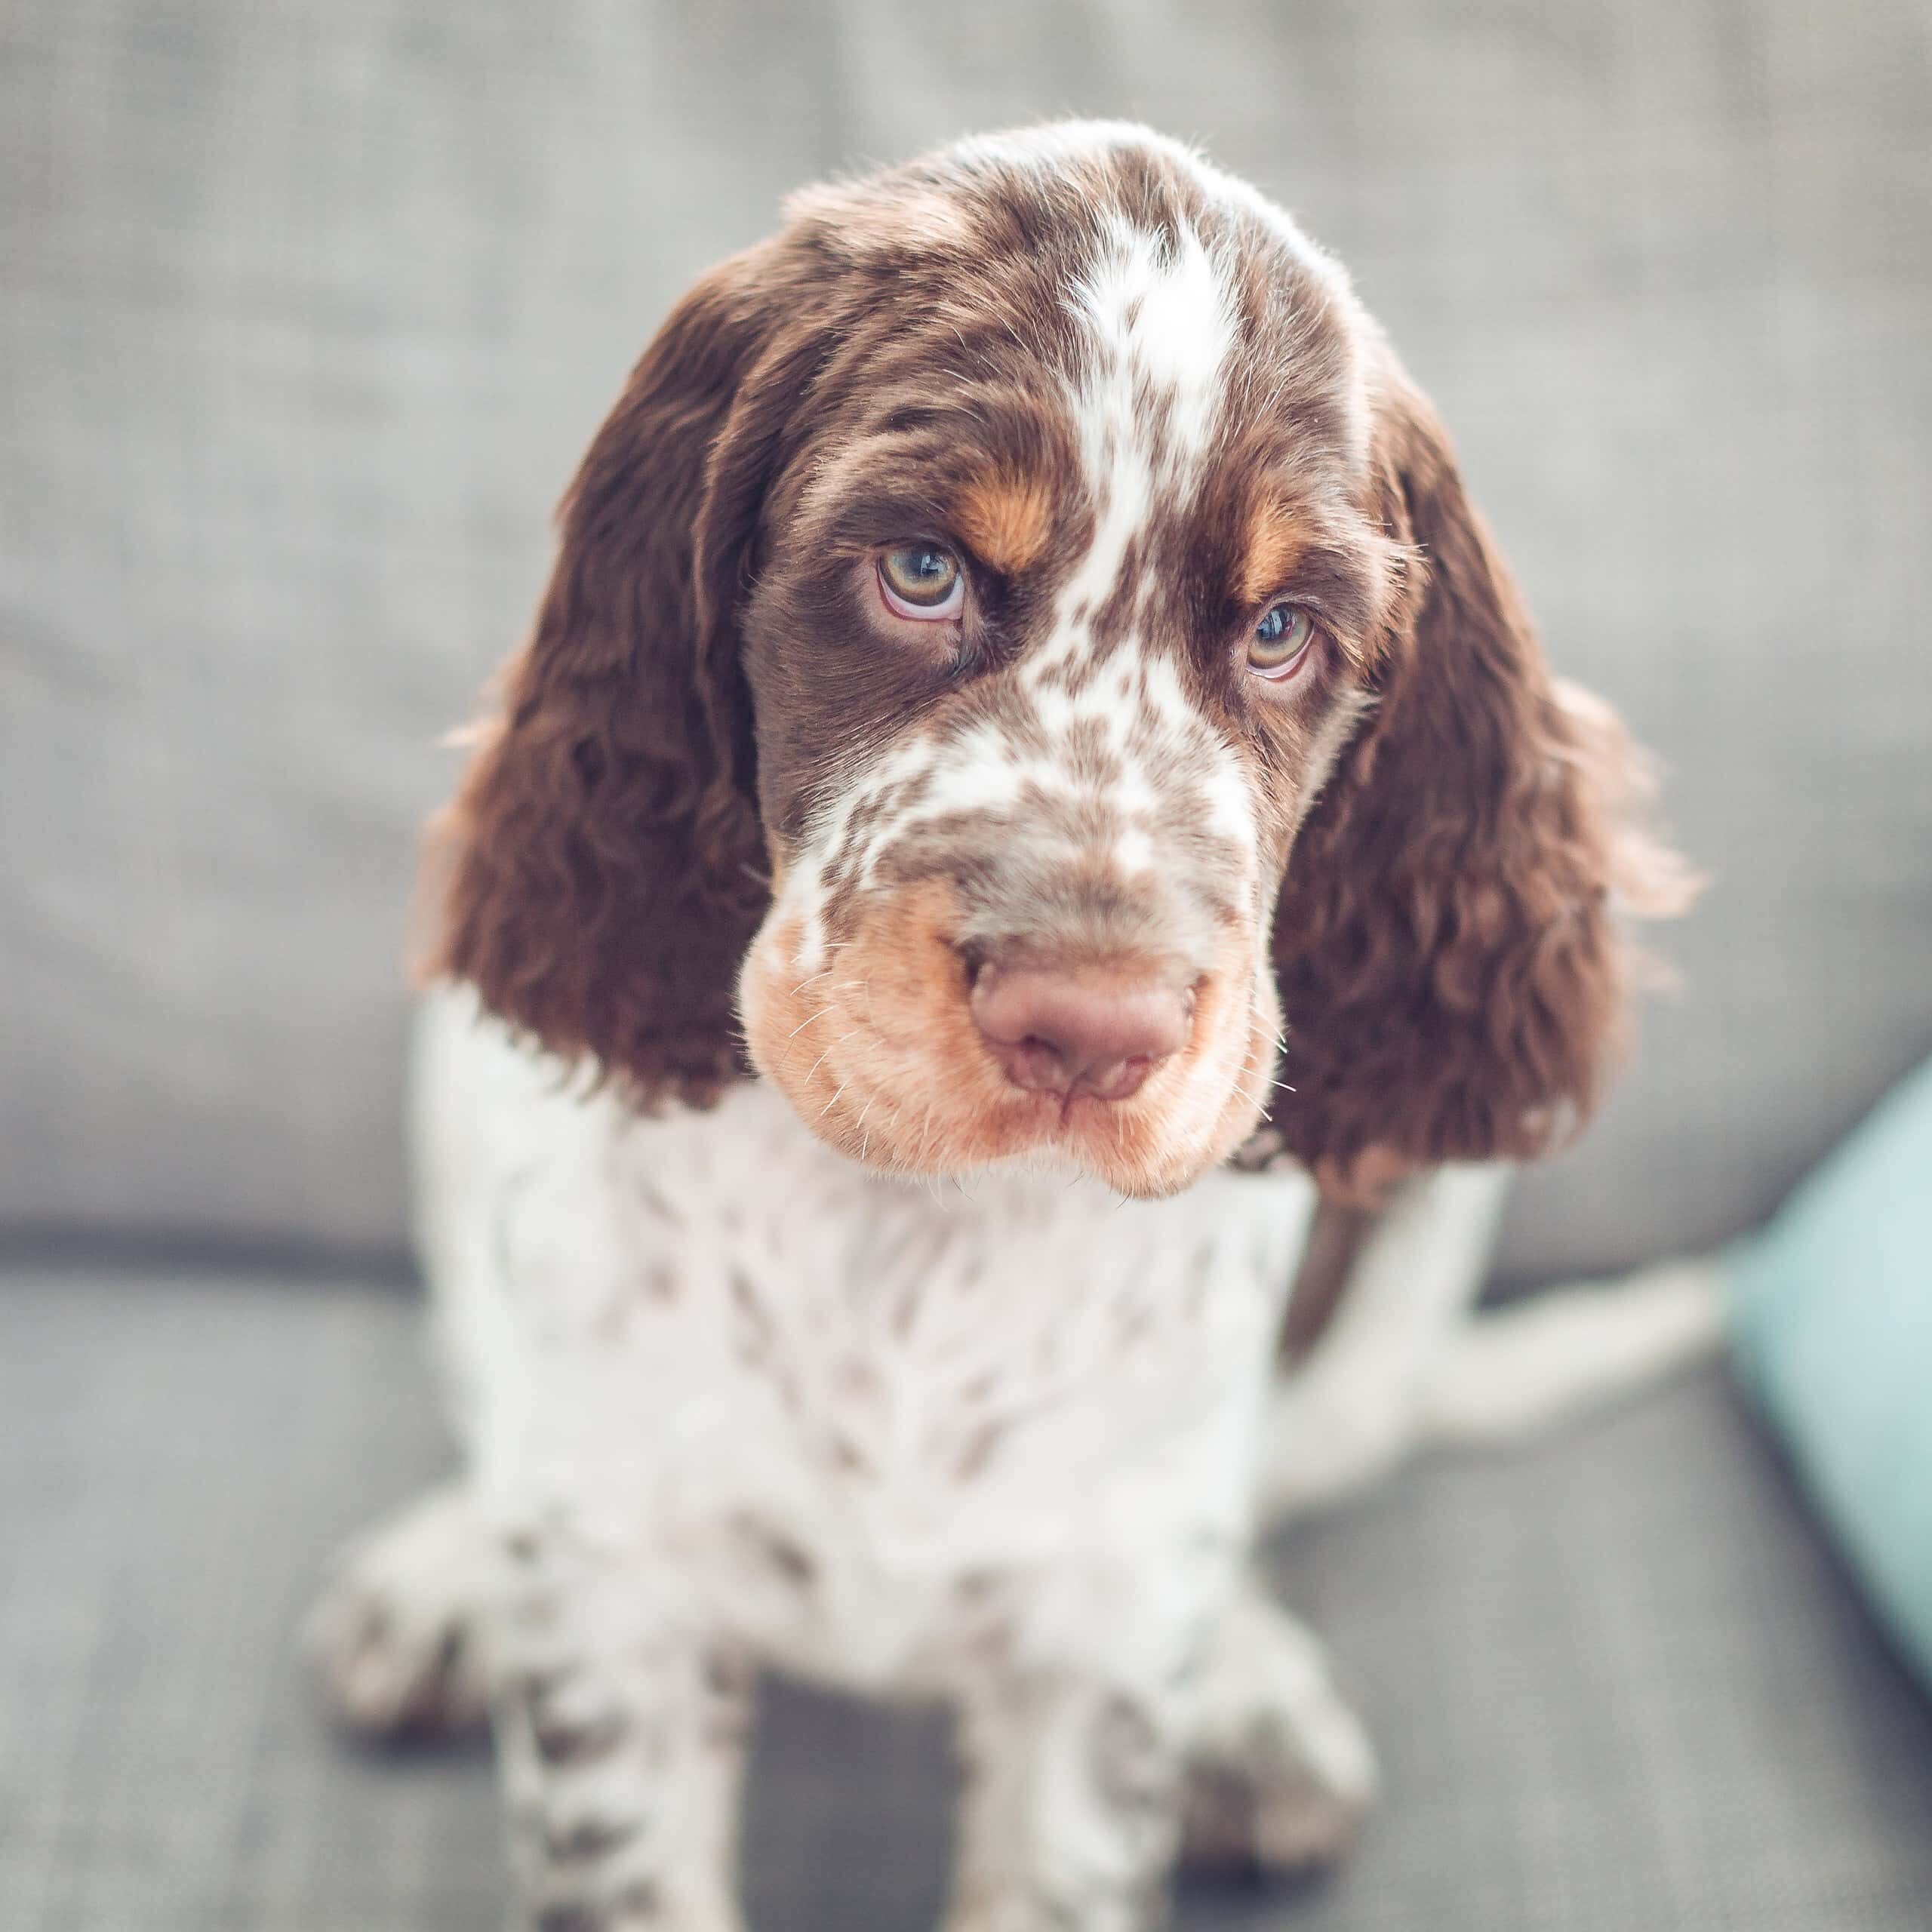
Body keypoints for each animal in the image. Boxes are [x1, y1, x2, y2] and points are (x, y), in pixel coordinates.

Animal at [316, 121, 1692, 1932]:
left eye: (1283, 632)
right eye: (920, 572)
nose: (1091, 1030)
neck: (920, 1233)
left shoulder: (1095, 1660)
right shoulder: (622, 1627)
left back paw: (1251, 1696)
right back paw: (452, 1573)